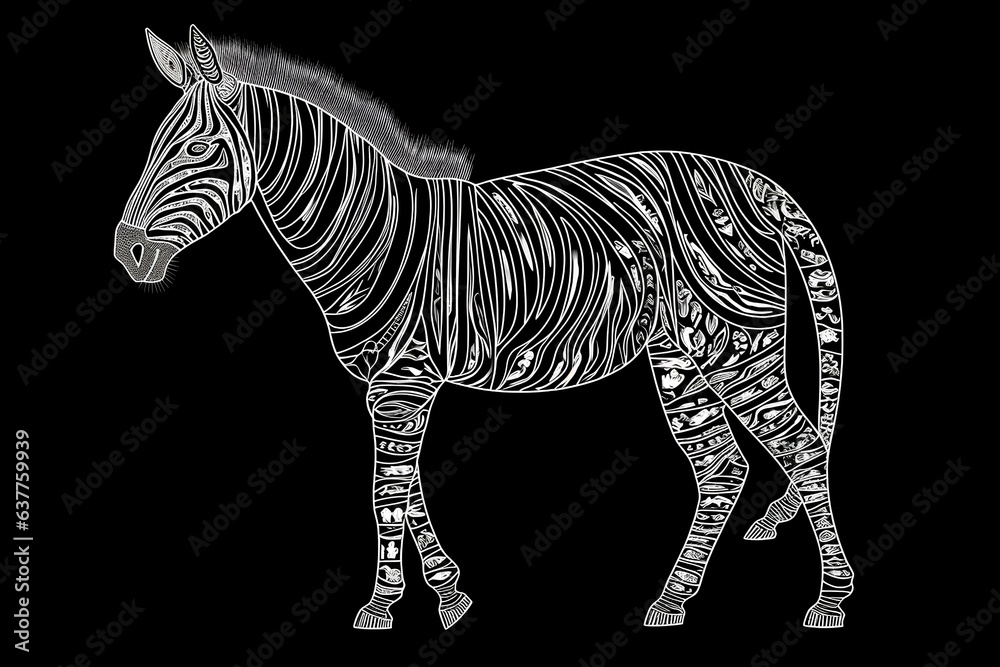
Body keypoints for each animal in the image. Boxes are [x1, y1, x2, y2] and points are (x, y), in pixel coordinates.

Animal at [115, 26, 853, 631]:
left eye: (201, 149)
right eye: (150, 147)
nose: (127, 254)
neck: (369, 232)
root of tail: (752, 179)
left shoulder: (406, 380)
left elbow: (385, 492)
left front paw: (380, 606)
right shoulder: (389, 387)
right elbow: (407, 490)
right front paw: (448, 594)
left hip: (739, 344)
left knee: (802, 449)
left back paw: (830, 598)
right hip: (678, 353)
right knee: (723, 468)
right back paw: (673, 598)